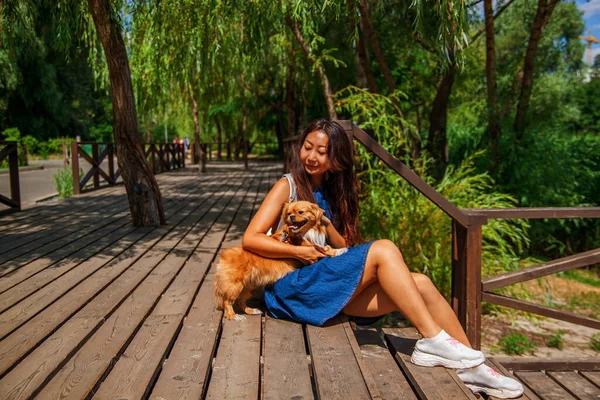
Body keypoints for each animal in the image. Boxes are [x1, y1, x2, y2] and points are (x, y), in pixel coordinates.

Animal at [214, 202, 346, 320]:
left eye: (300, 212)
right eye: (288, 213)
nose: (291, 217)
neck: (304, 233)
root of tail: (222, 257)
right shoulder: (311, 247)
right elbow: (327, 249)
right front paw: (340, 251)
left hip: (247, 286)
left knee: (240, 300)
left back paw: (251, 310)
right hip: (234, 286)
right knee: (227, 302)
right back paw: (233, 316)